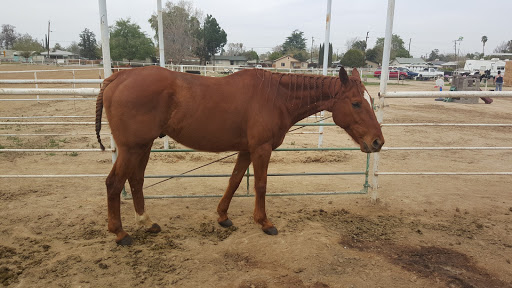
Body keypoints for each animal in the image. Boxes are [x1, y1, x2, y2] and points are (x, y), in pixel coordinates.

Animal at [96, 66, 384, 245]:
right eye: (356, 103)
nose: (377, 141)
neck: (276, 96)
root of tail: (118, 79)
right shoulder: (261, 149)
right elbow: (260, 185)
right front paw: (264, 222)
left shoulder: (246, 150)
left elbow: (234, 181)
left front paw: (223, 217)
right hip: (132, 148)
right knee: (114, 183)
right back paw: (120, 233)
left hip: (142, 147)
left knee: (135, 181)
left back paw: (146, 222)